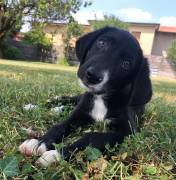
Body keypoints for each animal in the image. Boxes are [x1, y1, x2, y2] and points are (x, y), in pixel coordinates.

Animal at [18, 26, 151, 166]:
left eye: (126, 64)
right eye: (102, 43)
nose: (93, 76)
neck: (101, 98)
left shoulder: (127, 132)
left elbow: (93, 137)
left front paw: (56, 154)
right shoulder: (80, 113)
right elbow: (60, 126)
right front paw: (39, 143)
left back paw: (57, 110)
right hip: (79, 98)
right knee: (63, 99)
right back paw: (35, 106)